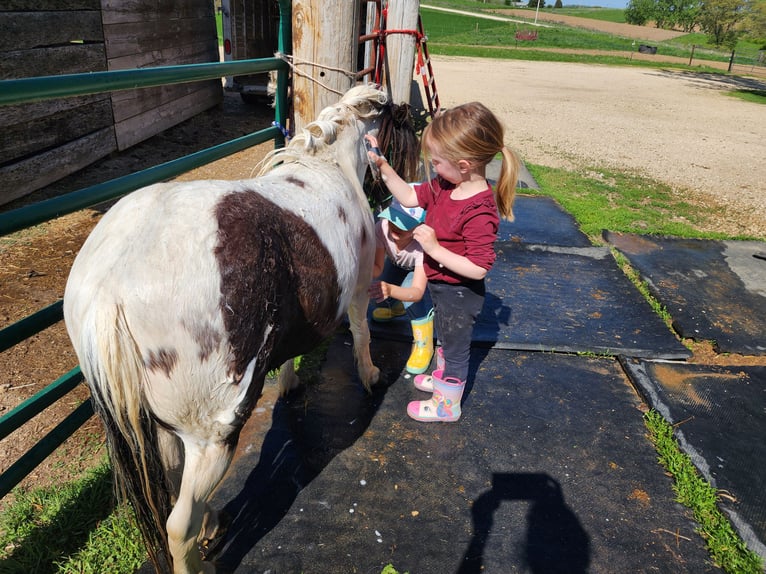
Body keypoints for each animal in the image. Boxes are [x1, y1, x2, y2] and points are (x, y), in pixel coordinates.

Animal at [63, 84, 418, 574]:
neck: (331, 166)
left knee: (175, 485)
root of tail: (107, 290)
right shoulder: (362, 285)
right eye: (407, 128)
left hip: (164, 426)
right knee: (178, 525)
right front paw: (370, 377)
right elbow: (362, 334)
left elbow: (290, 356)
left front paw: (288, 386)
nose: (411, 192)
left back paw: (214, 522)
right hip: (212, 434)